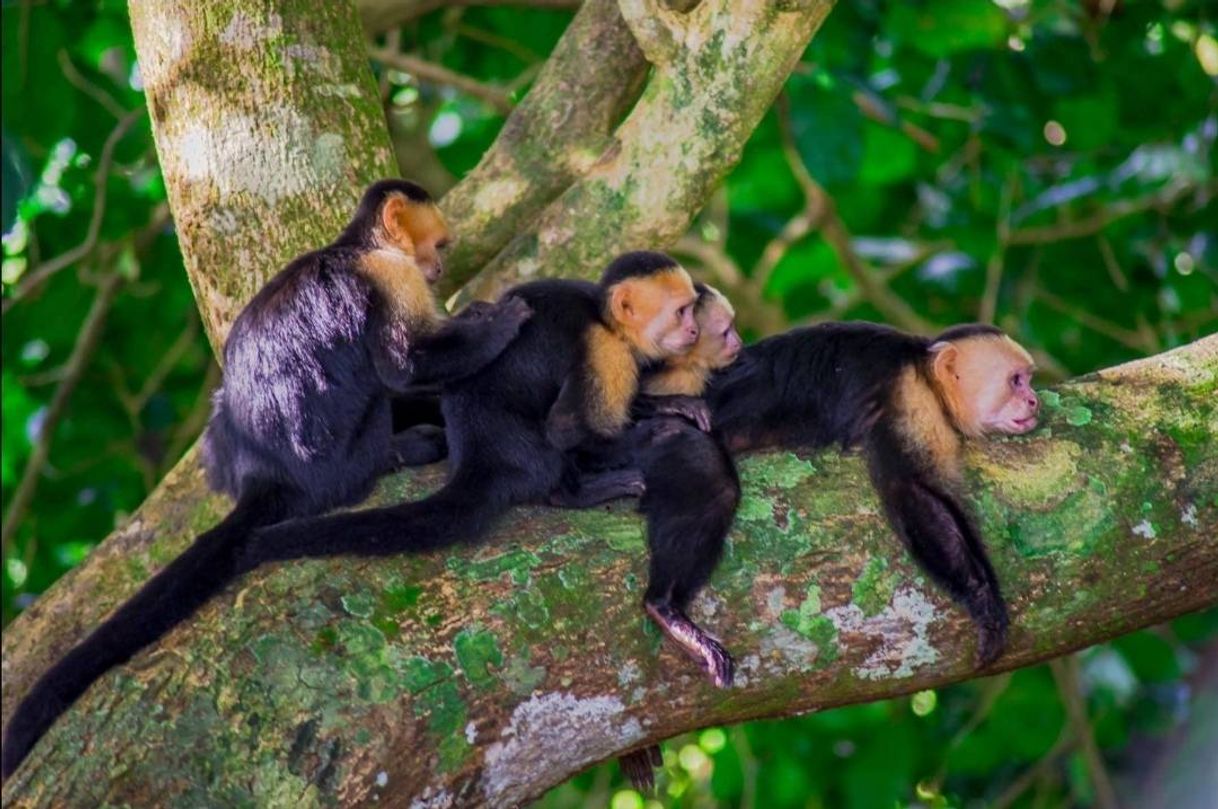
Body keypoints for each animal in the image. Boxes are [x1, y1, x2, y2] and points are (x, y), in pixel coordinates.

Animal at [2, 179, 531, 779]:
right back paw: (399, 450)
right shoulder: (389, 274)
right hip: (342, 460)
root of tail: (274, 478)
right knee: (376, 395)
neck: (357, 246)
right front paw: (498, 323)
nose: (439, 269)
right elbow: (405, 362)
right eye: (439, 247)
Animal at [706, 321, 1037, 667]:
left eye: (1029, 380)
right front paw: (983, 600)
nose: (1033, 400)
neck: (926, 374)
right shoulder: (911, 397)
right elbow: (908, 488)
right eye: (1016, 381)